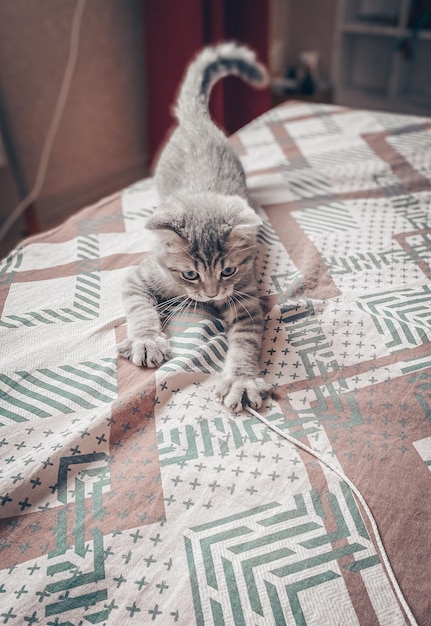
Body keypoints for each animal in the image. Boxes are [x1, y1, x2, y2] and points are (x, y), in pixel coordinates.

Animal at [118, 44, 272, 412]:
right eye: (191, 274)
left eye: (228, 270)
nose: (213, 294)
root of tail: (195, 120)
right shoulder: (139, 276)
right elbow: (139, 308)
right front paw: (146, 340)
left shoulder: (247, 299)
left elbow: (245, 342)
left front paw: (241, 379)